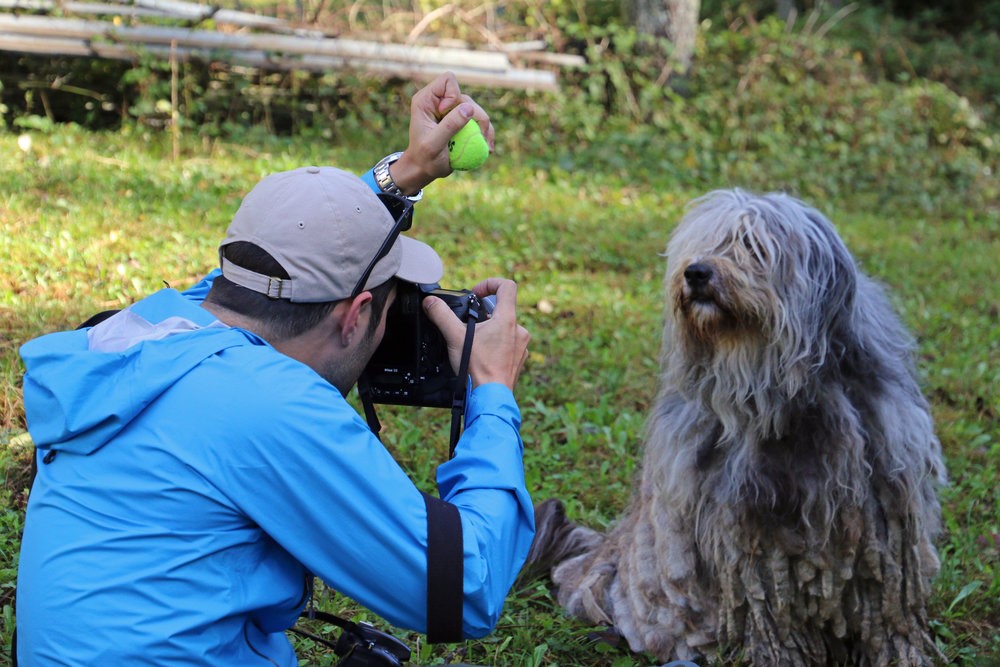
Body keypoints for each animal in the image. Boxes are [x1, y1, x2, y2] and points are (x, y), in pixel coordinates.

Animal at [528, 189, 948, 667]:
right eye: (703, 243)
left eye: (753, 246)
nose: (696, 272)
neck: (775, 390)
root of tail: (603, 553)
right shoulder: (751, 536)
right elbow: (773, 612)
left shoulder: (883, 512)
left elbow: (889, 607)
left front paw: (901, 653)